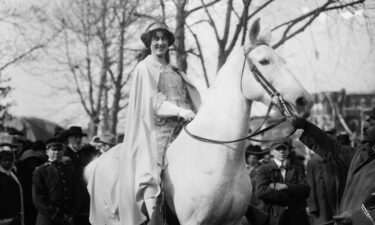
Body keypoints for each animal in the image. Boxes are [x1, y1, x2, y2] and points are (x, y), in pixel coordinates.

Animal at [84, 19, 314, 225]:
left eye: (282, 60)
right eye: (264, 61)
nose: (305, 101)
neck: (219, 157)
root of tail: (98, 162)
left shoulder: (232, 221)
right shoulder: (192, 221)